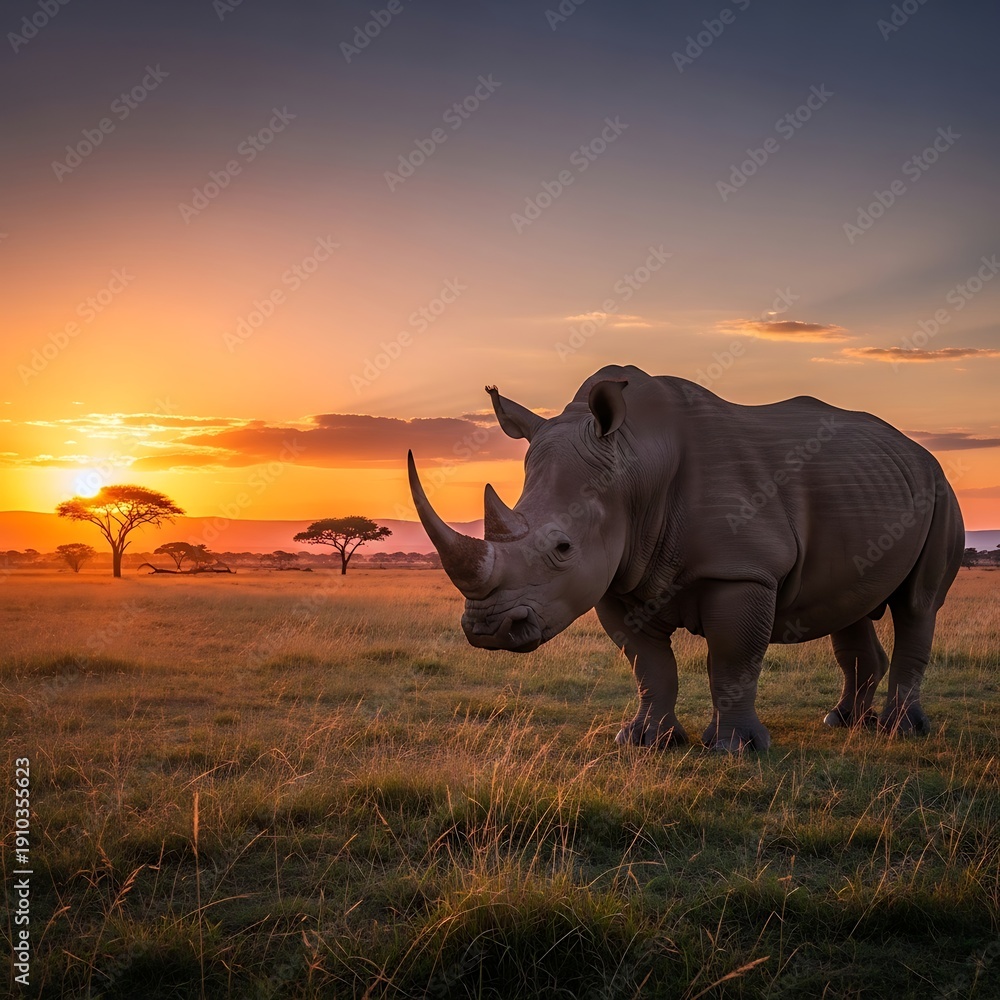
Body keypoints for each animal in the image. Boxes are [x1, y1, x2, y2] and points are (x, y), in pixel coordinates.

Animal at [407, 365, 964, 751]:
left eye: (563, 548)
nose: (487, 629)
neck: (634, 462)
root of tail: (918, 451)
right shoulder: (618, 576)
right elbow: (649, 664)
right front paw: (644, 742)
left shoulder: (743, 570)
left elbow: (734, 658)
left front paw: (735, 749)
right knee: (851, 607)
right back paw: (844, 722)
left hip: (940, 489)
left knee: (918, 604)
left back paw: (900, 731)